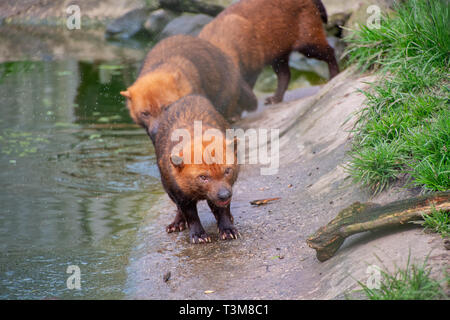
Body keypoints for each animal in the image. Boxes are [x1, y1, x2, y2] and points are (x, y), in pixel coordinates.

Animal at [155, 94, 241, 242]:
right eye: (203, 177)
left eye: (227, 170)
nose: (224, 195)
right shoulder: (180, 192)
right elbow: (190, 215)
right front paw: (198, 235)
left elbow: (222, 209)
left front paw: (227, 229)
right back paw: (176, 223)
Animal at [199, 0, 340, 104]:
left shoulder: (252, 63)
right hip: (279, 53)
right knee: (285, 74)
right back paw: (274, 99)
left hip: (307, 41)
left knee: (330, 51)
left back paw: (333, 76)